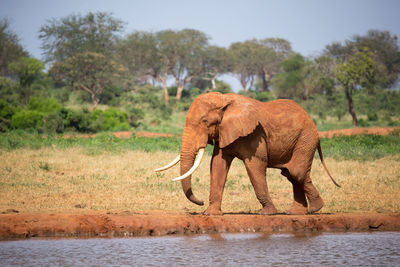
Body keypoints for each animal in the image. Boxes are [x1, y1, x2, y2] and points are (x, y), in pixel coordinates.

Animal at [155, 92, 340, 216]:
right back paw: (295, 213)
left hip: (306, 139)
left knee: (296, 172)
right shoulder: (224, 131)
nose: (200, 202)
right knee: (290, 174)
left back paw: (314, 209)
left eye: (205, 121)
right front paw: (210, 213)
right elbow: (217, 165)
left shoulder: (255, 134)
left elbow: (255, 166)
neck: (224, 100)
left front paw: (266, 213)